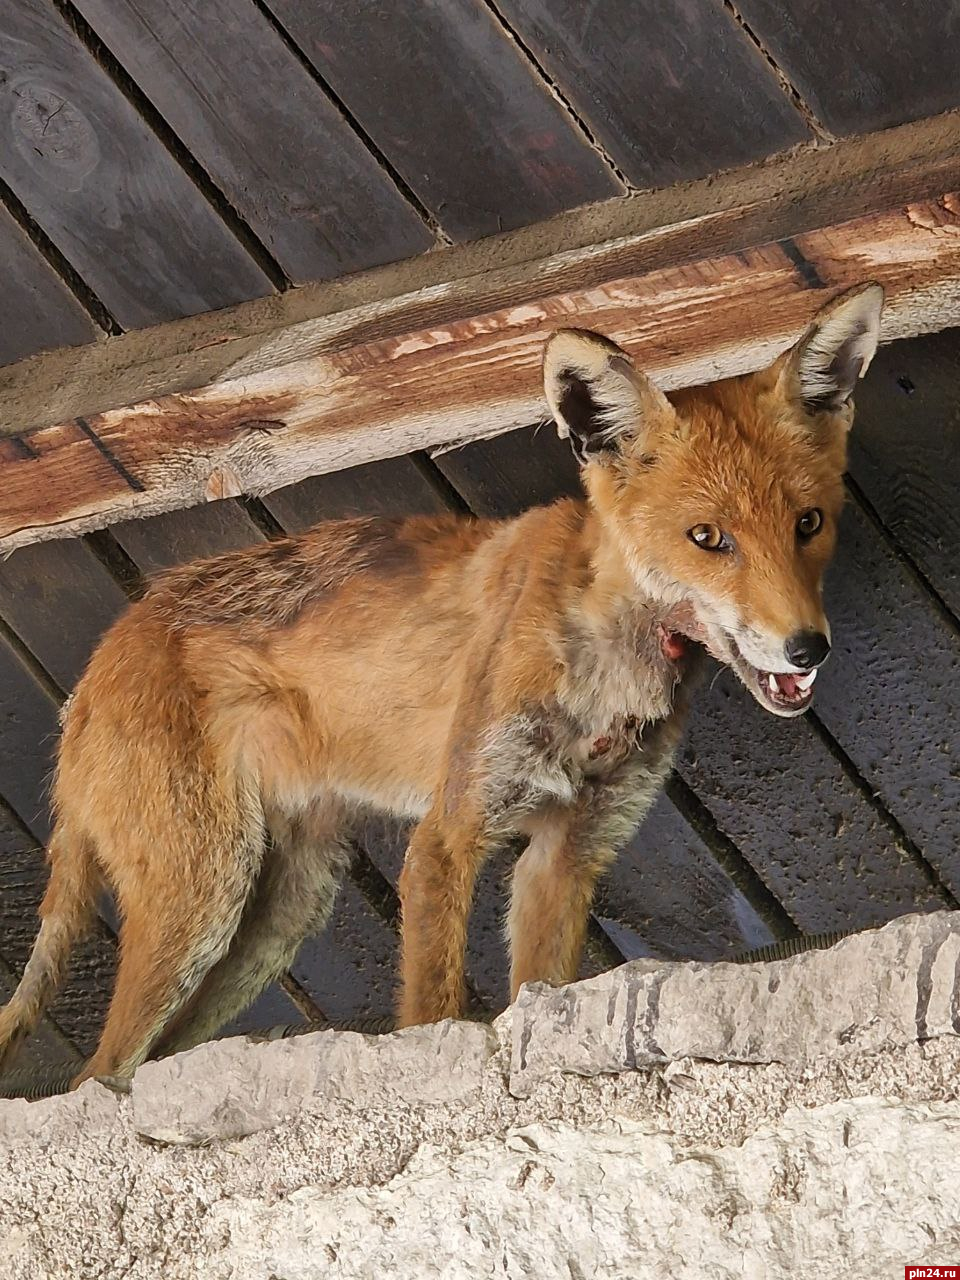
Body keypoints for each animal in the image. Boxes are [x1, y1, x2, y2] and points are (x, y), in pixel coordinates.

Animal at [0, 280, 885, 1080]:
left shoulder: (569, 853)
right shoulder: (447, 834)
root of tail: (99, 660)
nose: (807, 649)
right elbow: (432, 1011)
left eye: (808, 524)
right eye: (707, 538)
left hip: (274, 919)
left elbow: (538, 990)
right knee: (93, 1075)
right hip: (204, 900)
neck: (599, 666)